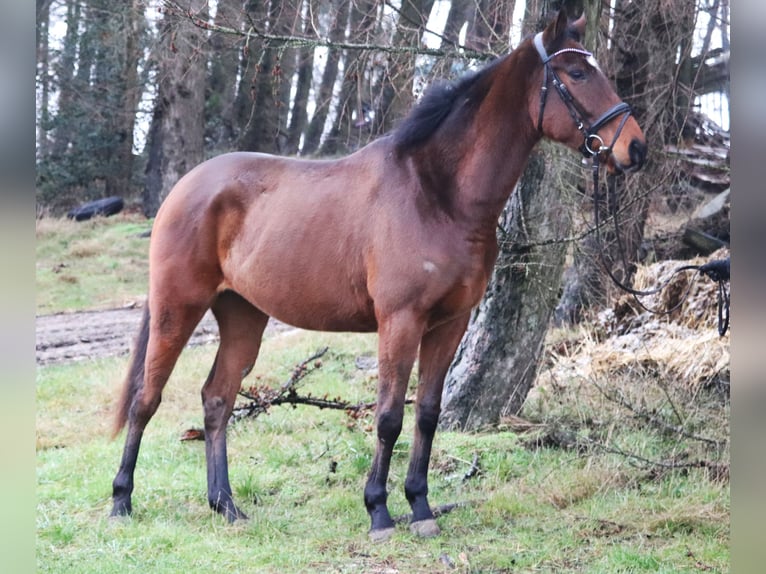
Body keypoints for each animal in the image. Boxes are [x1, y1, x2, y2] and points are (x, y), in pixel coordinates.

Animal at [109, 12, 648, 544]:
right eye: (576, 73)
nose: (636, 148)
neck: (437, 194)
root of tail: (187, 186)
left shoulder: (449, 324)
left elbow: (427, 414)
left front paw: (422, 508)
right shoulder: (400, 321)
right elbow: (388, 416)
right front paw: (379, 513)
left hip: (243, 316)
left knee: (217, 400)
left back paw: (226, 505)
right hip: (177, 307)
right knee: (145, 400)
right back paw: (121, 502)